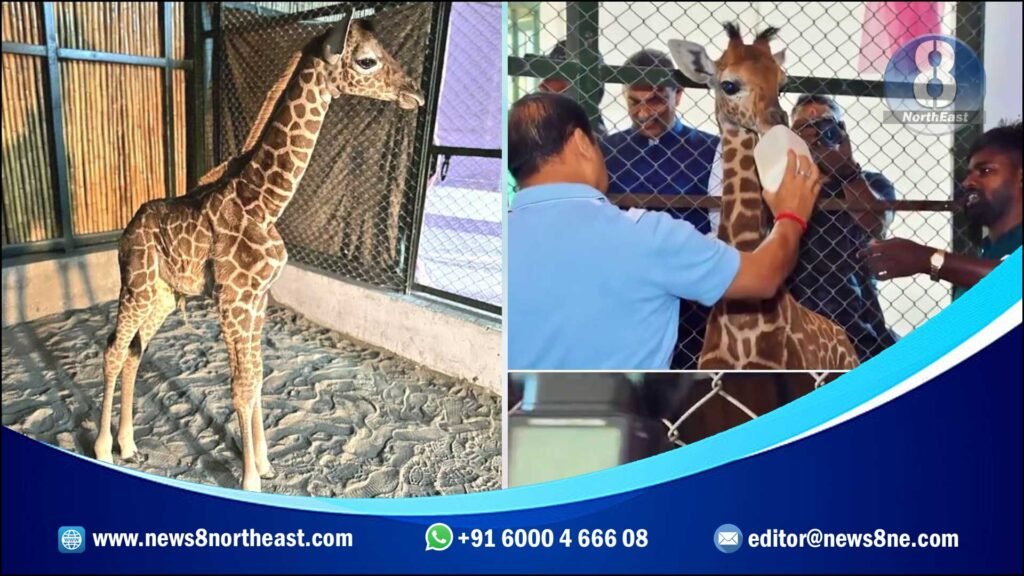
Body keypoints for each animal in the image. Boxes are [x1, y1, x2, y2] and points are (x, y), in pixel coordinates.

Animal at [91, 14, 425, 492]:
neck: (265, 203)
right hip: (135, 285)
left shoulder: (260, 297)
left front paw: (265, 463)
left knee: (136, 352)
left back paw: (129, 444)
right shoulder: (235, 298)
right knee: (114, 350)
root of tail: (127, 230)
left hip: (164, 295)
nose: (415, 92)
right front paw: (250, 477)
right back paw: (103, 448)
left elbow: (260, 375)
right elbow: (242, 384)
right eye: (367, 60)